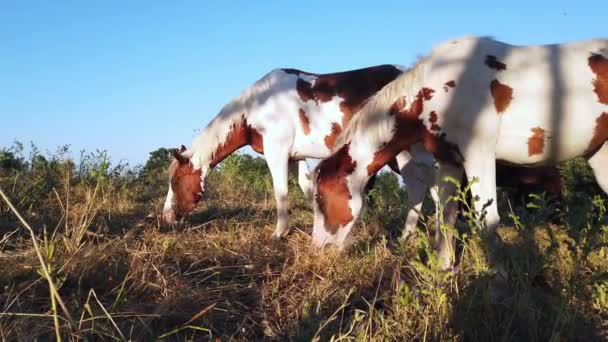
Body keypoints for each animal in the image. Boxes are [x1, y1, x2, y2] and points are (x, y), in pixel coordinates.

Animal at [312, 36, 604, 268]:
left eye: (321, 199)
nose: (317, 249)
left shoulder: (478, 156)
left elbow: (487, 220)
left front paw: (497, 284)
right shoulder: (449, 161)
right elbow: (446, 218)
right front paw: (443, 274)